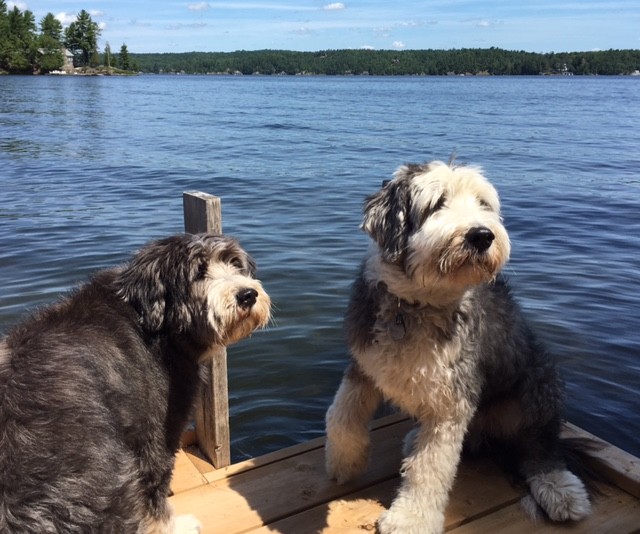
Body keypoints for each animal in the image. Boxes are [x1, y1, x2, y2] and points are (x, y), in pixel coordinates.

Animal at [0, 234, 270, 534]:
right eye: (199, 273)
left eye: (235, 263)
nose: (247, 294)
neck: (154, 322)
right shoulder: (157, 434)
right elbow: (156, 493)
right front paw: (176, 526)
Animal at [324, 161, 592, 532]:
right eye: (438, 203)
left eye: (483, 204)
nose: (482, 235)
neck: (413, 306)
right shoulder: (364, 365)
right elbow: (340, 416)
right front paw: (344, 463)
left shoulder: (451, 400)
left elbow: (429, 468)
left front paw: (410, 519)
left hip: (537, 387)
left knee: (540, 448)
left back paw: (561, 491)